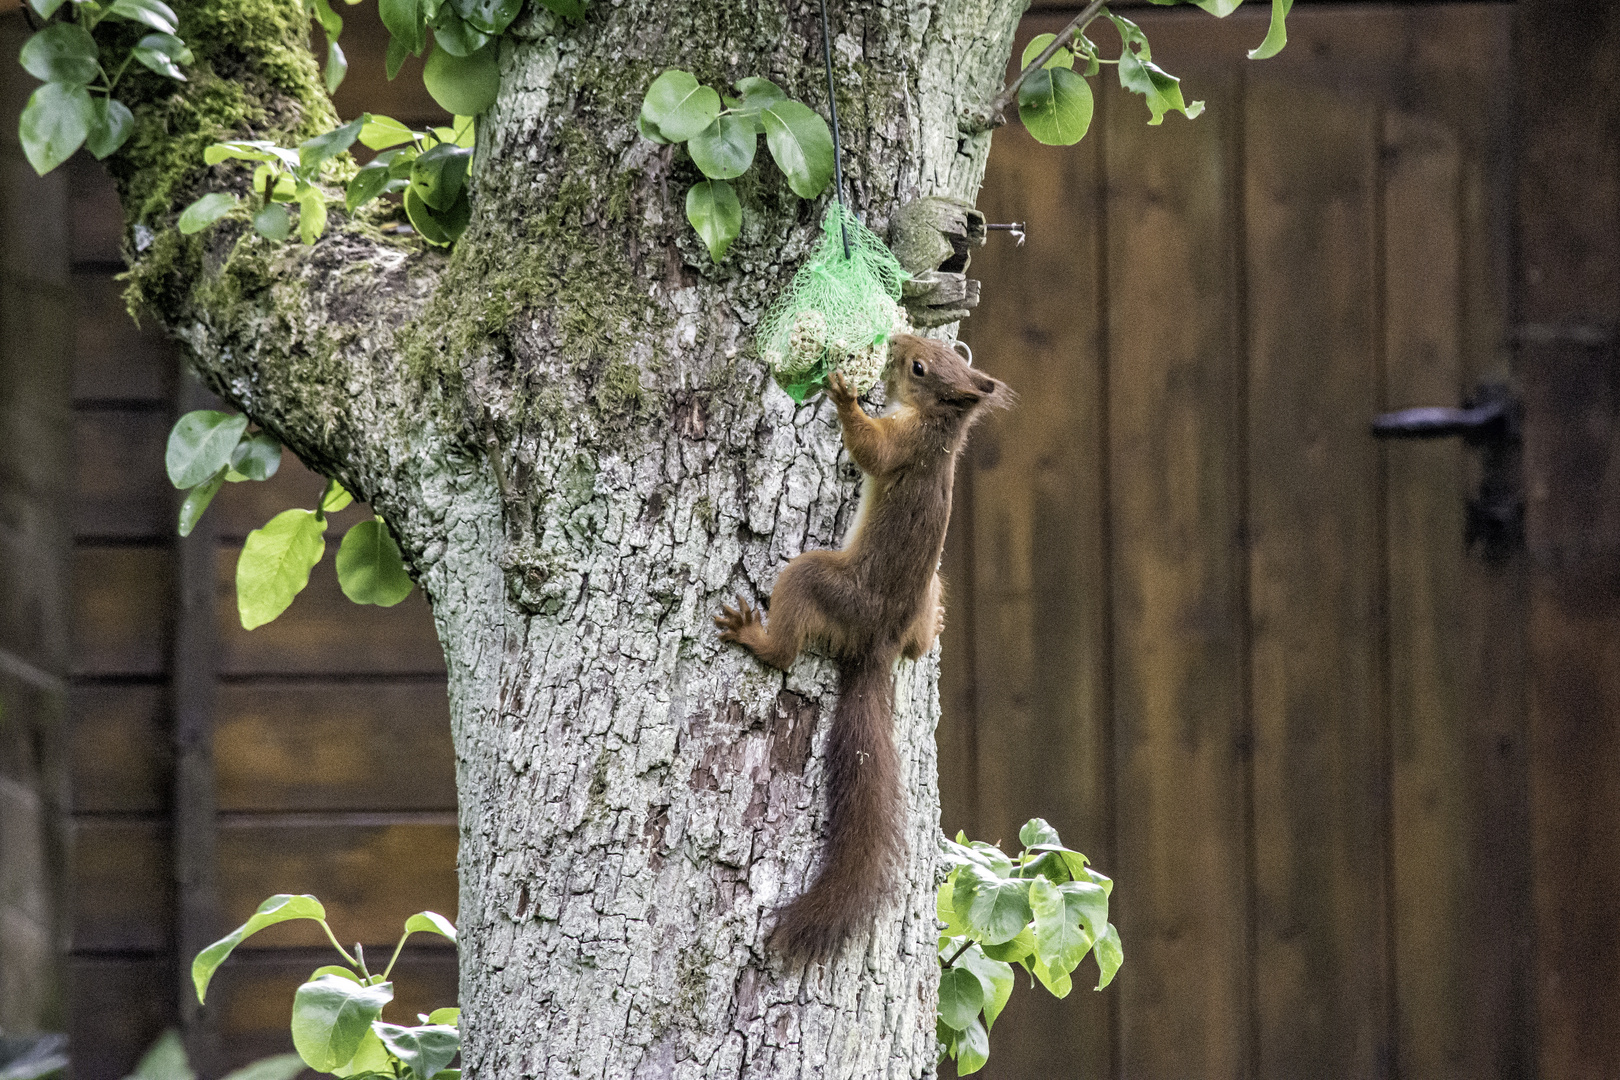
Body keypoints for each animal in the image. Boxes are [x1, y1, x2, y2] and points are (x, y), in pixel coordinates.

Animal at [716, 333, 1004, 958]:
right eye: (931, 349)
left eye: (918, 365)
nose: (895, 337)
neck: (938, 428)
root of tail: (878, 643)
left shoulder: (901, 446)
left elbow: (870, 450)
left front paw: (845, 396)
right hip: (929, 592)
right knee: (917, 644)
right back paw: (932, 628)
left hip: (817, 581)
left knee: (786, 647)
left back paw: (754, 635)